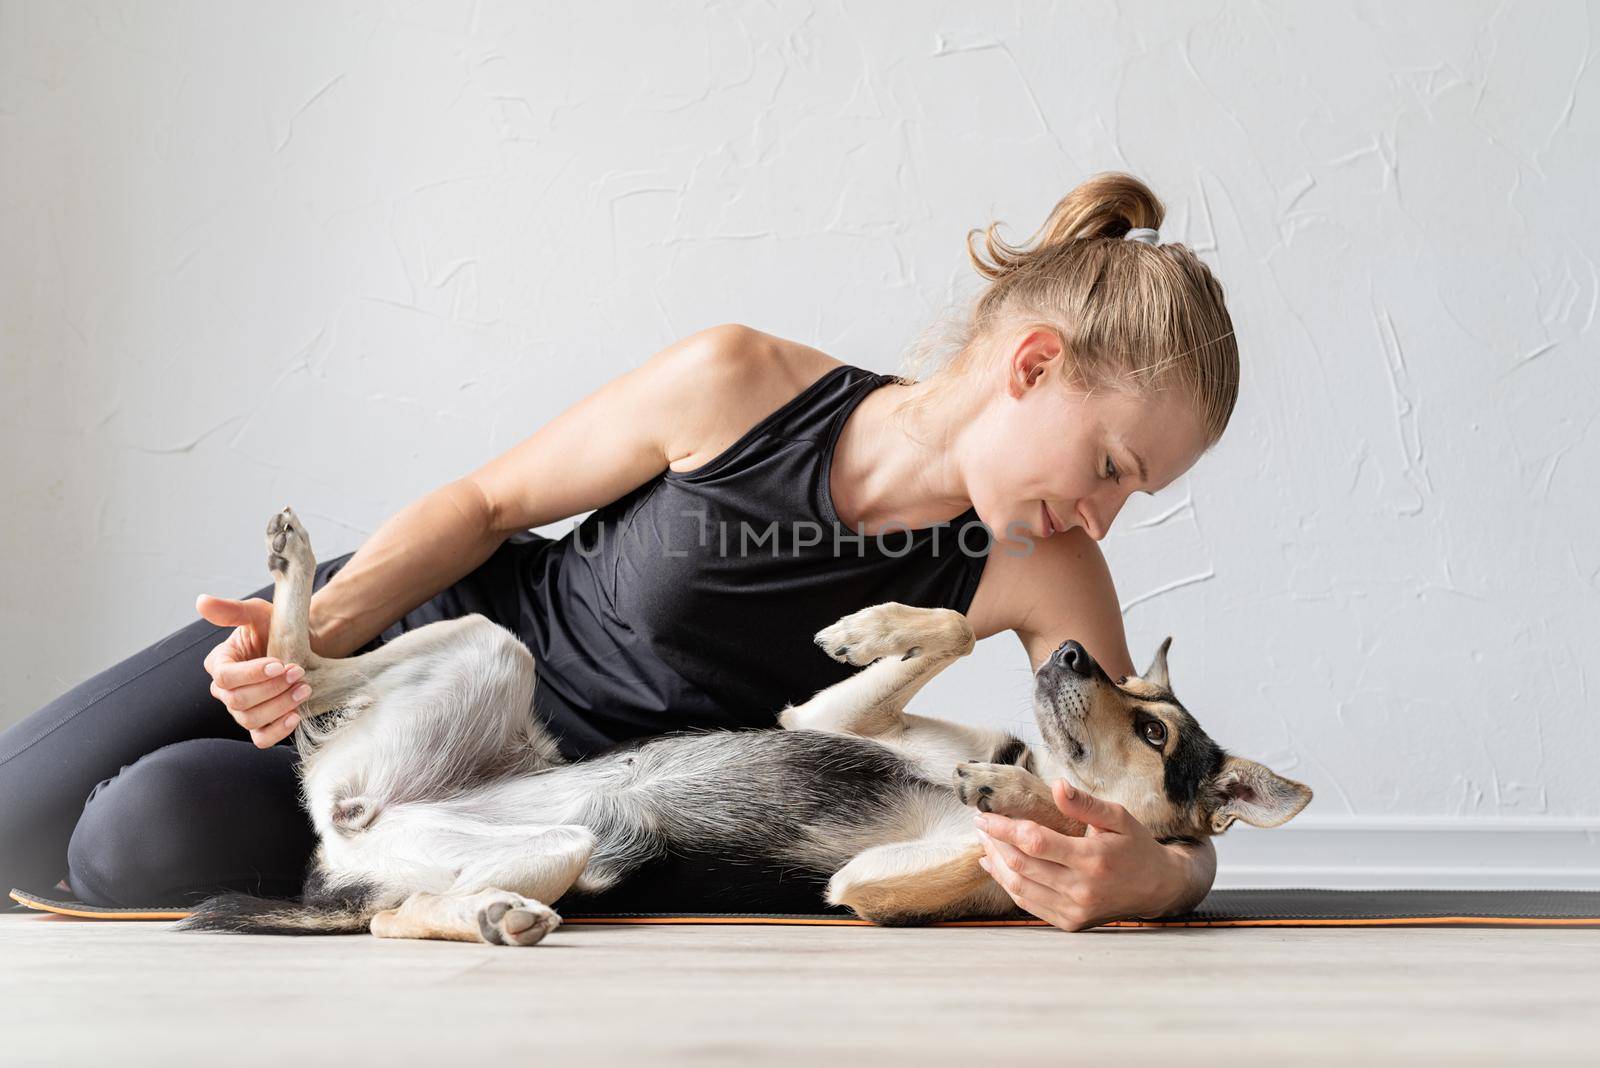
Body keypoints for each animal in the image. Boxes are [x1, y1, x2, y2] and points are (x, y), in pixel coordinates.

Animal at [181, 508, 1312, 940]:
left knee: (400, 913)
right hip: (491, 649)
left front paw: (1024, 795)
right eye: (1125, 687)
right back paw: (285, 588)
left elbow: (1049, 818)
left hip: (554, 845)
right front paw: (872, 625)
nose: (1073, 654)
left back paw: (498, 916)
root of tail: (342, 840)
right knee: (309, 670)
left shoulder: (871, 889)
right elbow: (946, 627)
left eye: (1161, 739)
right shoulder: (825, 711)